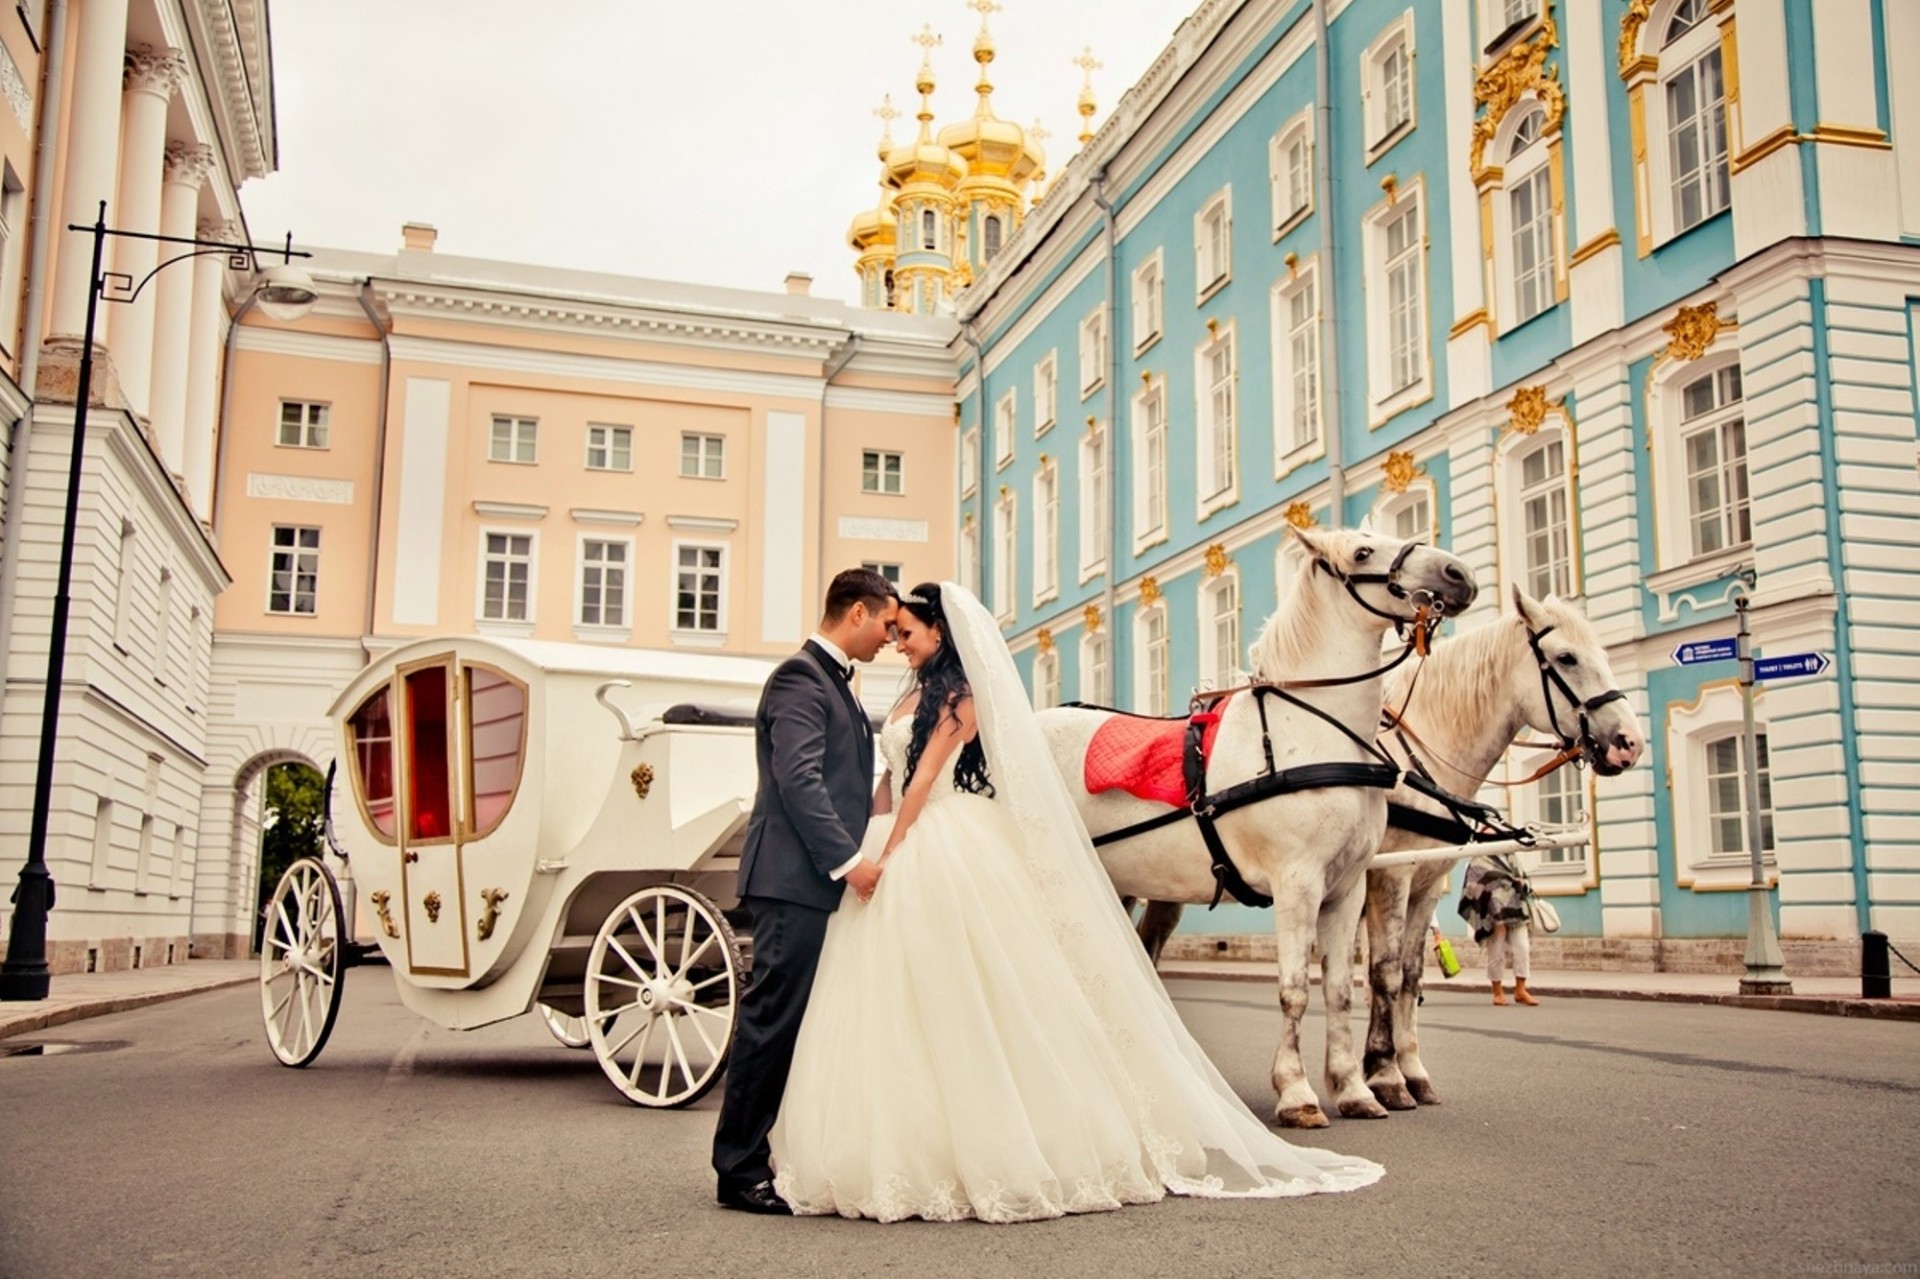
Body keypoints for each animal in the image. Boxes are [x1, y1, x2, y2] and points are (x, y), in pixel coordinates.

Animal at [1044, 522, 1474, 1121]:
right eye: (1363, 551)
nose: (1458, 573)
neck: (1314, 731)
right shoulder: (1298, 885)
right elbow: (1294, 989)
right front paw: (1296, 1091)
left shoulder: (1345, 891)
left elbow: (1338, 989)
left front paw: (1352, 1087)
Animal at [1359, 587, 1643, 1106]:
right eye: (1566, 658)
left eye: (1605, 655)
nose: (1629, 744)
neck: (1414, 763)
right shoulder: (1389, 877)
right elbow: (1383, 974)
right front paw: (1385, 1077)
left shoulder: (1426, 884)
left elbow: (1409, 975)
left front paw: (1411, 1071)